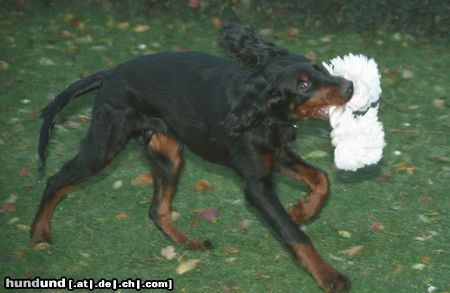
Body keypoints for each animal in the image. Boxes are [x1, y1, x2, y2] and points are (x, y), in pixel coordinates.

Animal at [31, 22, 356, 290]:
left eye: (319, 68)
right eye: (303, 85)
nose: (350, 86)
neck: (263, 115)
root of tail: (110, 73)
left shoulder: (276, 155)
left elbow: (321, 179)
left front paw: (302, 210)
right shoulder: (256, 184)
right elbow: (294, 234)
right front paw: (329, 277)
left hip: (168, 155)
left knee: (157, 210)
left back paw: (190, 243)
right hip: (105, 146)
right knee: (56, 180)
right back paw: (39, 234)